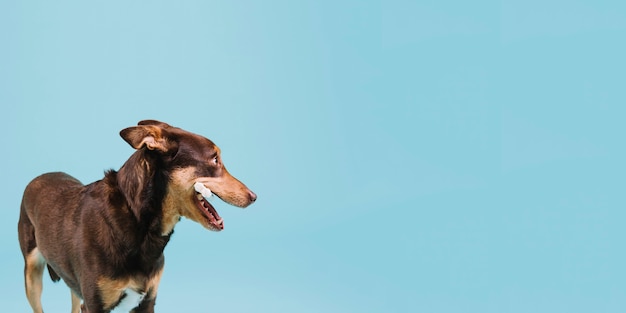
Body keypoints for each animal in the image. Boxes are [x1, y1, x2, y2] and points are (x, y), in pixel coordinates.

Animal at [17, 118, 256, 310]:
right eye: (215, 160)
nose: (254, 196)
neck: (137, 218)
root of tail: (39, 177)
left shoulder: (148, 300)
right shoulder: (94, 304)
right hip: (32, 277)